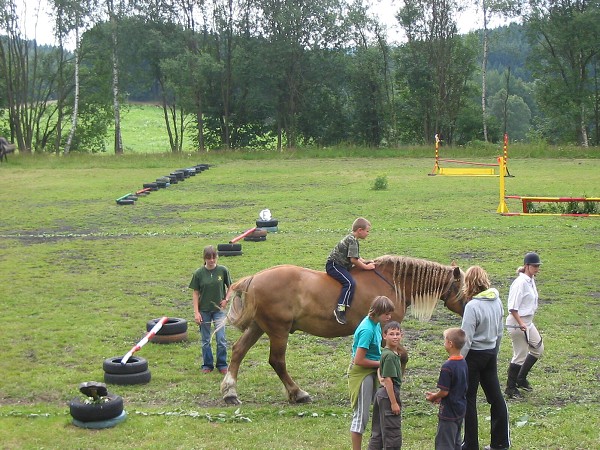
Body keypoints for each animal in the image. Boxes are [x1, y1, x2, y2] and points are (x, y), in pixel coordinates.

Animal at [219, 255, 464, 406]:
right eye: (464, 288)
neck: (392, 282)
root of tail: (254, 279)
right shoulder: (385, 330)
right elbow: (399, 356)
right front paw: (393, 385)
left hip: (258, 326)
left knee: (238, 351)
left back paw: (230, 392)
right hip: (279, 330)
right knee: (277, 361)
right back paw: (298, 393)